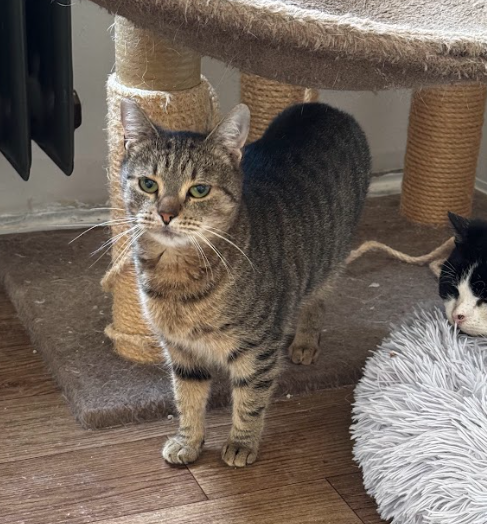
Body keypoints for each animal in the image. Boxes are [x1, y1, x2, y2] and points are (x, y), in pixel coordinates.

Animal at [119, 98, 371, 467]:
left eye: (199, 190)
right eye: (148, 184)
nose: (166, 214)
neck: (176, 278)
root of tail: (323, 106)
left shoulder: (258, 349)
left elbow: (251, 399)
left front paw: (241, 443)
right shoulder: (181, 351)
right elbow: (187, 400)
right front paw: (188, 442)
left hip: (331, 260)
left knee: (315, 301)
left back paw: (305, 341)